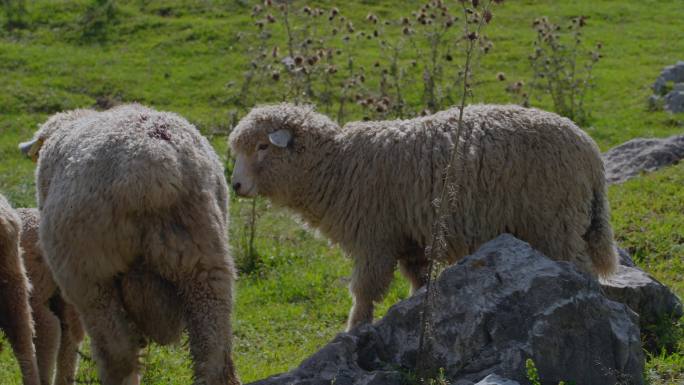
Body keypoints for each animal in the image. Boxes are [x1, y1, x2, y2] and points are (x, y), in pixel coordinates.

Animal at [230, 103, 620, 330]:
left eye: (262, 146)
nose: (234, 186)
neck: (336, 166)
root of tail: (591, 152)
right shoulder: (410, 239)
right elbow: (419, 282)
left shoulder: (375, 239)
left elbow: (365, 291)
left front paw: (355, 328)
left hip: (556, 222)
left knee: (580, 270)